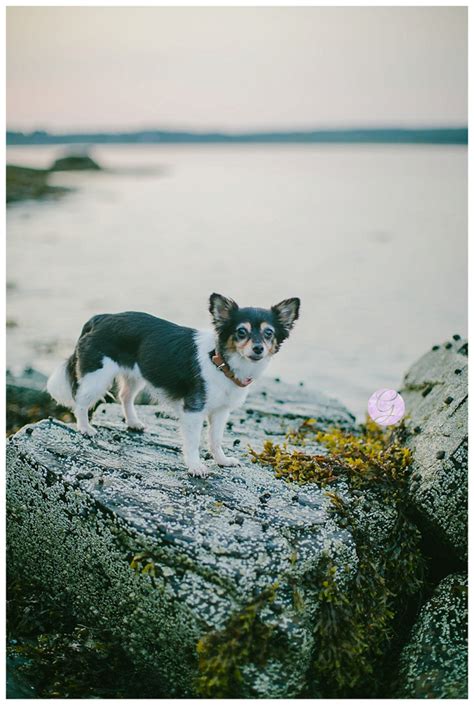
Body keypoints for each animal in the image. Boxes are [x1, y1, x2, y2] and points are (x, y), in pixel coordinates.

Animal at [47, 294, 300, 476]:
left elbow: (215, 439)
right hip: (98, 377)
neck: (222, 361)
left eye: (268, 333)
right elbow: (194, 441)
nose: (258, 348)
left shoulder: (220, 411)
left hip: (136, 375)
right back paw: (85, 428)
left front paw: (222, 460)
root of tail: (101, 317)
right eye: (241, 332)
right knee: (80, 401)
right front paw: (195, 466)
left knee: (125, 396)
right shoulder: (194, 410)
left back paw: (133, 422)